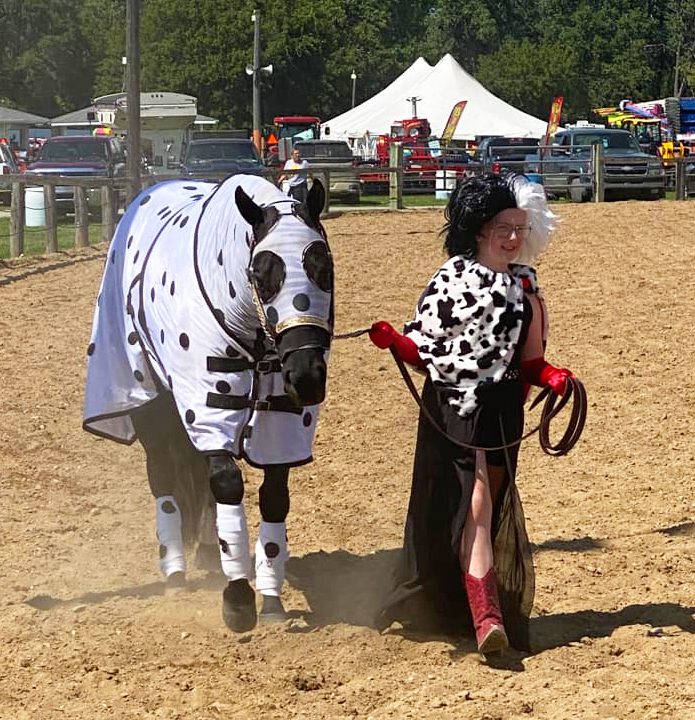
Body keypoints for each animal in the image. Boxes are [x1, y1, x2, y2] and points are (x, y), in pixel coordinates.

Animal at [84, 174, 334, 632]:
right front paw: (238, 600)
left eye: (323, 267)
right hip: (153, 406)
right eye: (260, 272)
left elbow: (275, 499)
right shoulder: (208, 408)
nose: (306, 376)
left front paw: (271, 598)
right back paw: (175, 573)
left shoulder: (282, 429)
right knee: (165, 479)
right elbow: (228, 486)